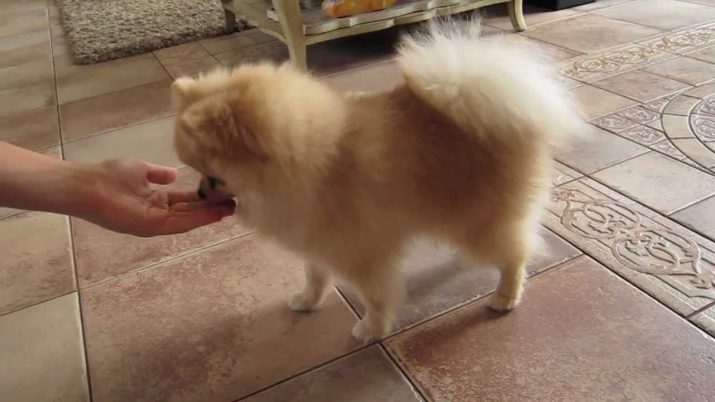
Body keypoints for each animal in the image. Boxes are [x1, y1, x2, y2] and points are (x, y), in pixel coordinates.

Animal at [171, 20, 583, 342]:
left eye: (214, 176)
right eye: (199, 175)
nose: (198, 192)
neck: (312, 161)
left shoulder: (363, 252)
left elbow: (375, 295)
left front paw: (371, 328)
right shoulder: (316, 238)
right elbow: (315, 274)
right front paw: (307, 301)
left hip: (483, 218)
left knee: (515, 254)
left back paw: (505, 297)